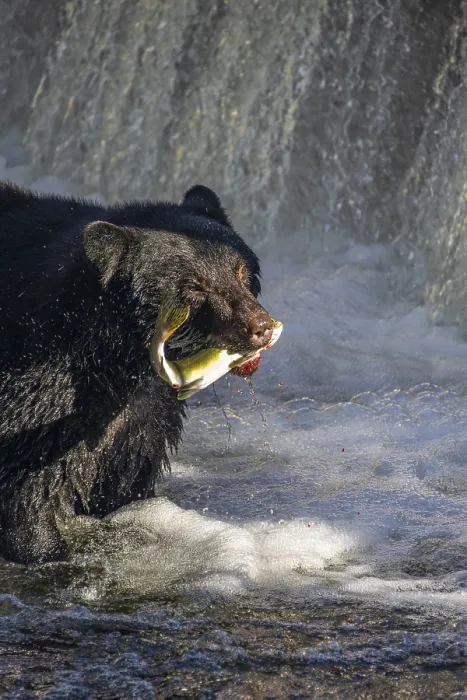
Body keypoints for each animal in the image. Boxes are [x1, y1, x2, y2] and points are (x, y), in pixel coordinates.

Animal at [0, 182, 275, 565]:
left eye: (239, 270)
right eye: (194, 286)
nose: (260, 327)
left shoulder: (141, 414)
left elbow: (127, 478)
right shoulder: (35, 394)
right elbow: (27, 493)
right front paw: (42, 546)